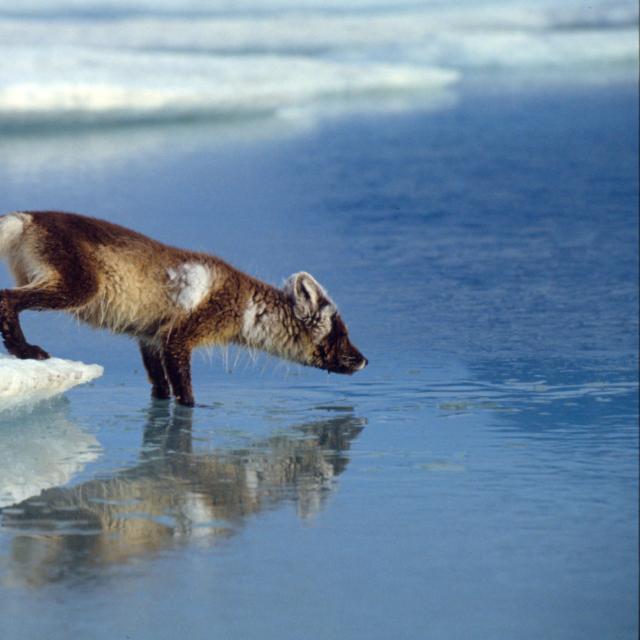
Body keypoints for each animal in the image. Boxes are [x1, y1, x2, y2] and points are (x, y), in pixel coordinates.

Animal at [0, 211, 367, 406]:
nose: (365, 361)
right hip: (78, 287)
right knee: (7, 297)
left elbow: (160, 387)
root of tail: (27, 217)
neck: (247, 307)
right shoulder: (180, 336)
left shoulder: (150, 337)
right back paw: (24, 350)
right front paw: (196, 409)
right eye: (340, 334)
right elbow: (184, 392)